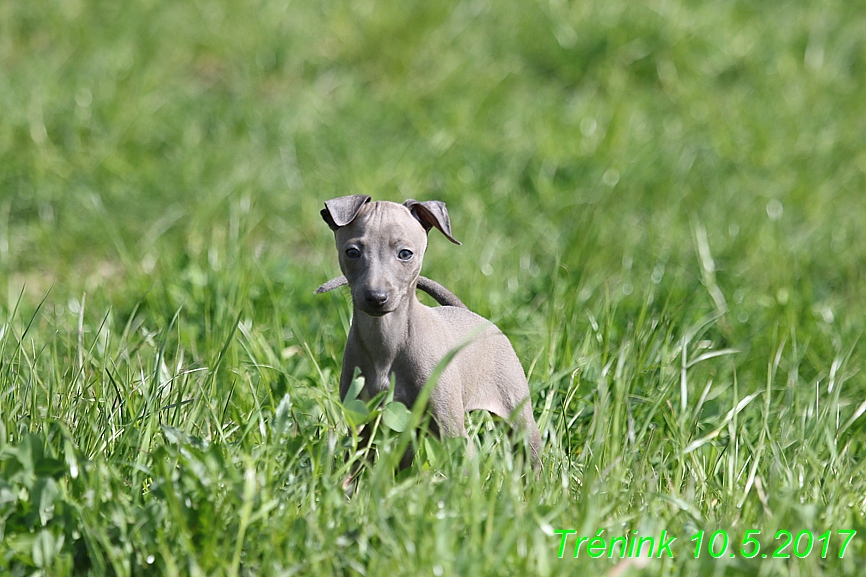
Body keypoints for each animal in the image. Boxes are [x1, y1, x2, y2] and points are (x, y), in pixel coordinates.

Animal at [318, 196, 540, 466]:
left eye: (405, 253)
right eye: (352, 252)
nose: (376, 297)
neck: (387, 342)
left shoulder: (451, 428)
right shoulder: (362, 420)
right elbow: (358, 463)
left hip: (516, 413)